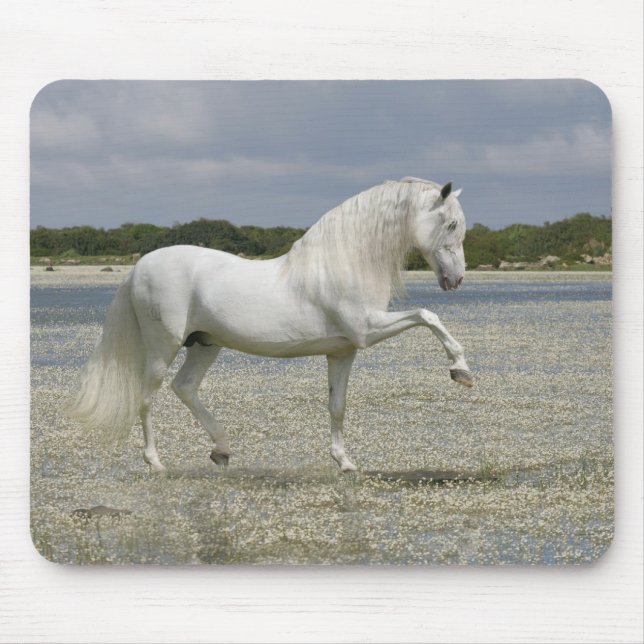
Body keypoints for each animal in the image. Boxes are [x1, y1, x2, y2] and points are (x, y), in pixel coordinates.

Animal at [68, 177, 472, 473]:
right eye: (451, 223)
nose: (456, 280)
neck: (342, 263)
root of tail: (138, 268)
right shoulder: (367, 330)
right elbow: (427, 316)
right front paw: (460, 370)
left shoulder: (343, 351)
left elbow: (337, 406)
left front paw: (345, 462)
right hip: (161, 347)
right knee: (147, 398)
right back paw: (156, 463)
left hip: (206, 344)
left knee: (185, 388)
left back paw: (222, 450)